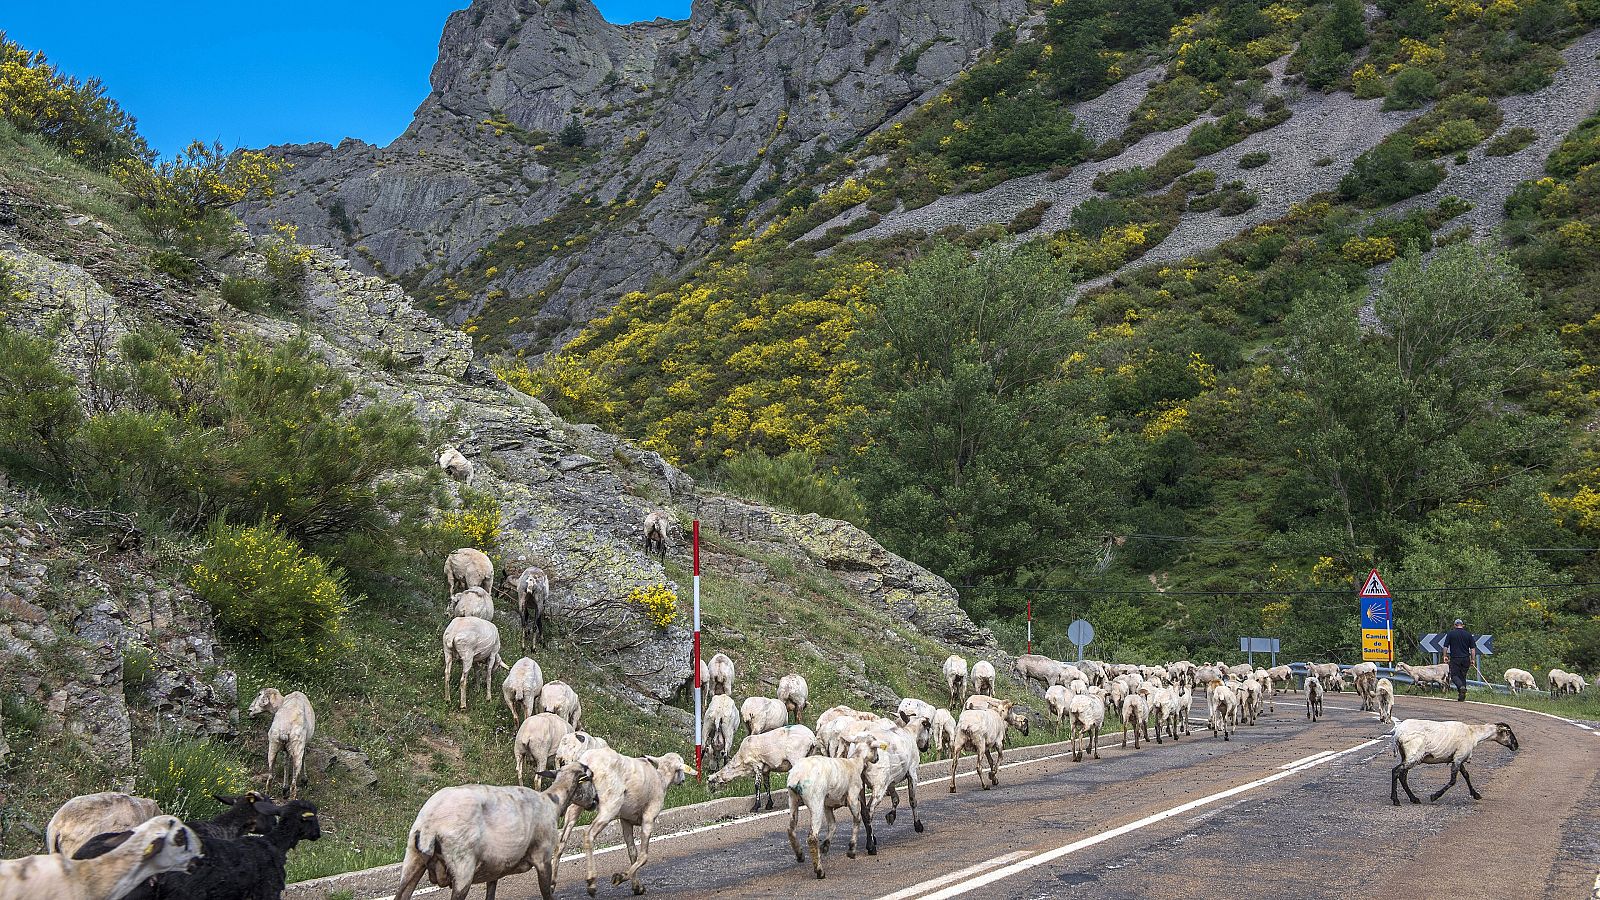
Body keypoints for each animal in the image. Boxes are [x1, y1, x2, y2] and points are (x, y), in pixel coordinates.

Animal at [393, 755, 588, 896]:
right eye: (590, 776)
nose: (594, 802)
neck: (553, 801)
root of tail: (430, 823)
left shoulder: (495, 868)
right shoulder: (543, 858)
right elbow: (546, 892)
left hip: (412, 860)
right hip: (462, 868)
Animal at [582, 739, 694, 890]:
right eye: (681, 767)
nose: (683, 781)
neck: (661, 779)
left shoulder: (625, 820)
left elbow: (632, 853)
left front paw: (636, 886)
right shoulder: (649, 818)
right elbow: (643, 856)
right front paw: (620, 877)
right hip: (608, 806)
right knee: (588, 834)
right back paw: (591, 880)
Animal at [1388, 717, 1523, 800]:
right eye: (1508, 733)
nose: (1516, 746)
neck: (1473, 734)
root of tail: (1398, 733)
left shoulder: (1458, 757)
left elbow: (1466, 775)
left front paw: (1476, 794)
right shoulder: (1458, 758)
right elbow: (1453, 781)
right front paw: (1435, 796)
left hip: (1407, 756)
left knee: (1402, 776)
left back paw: (1414, 799)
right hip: (1414, 755)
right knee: (1396, 771)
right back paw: (1396, 800)